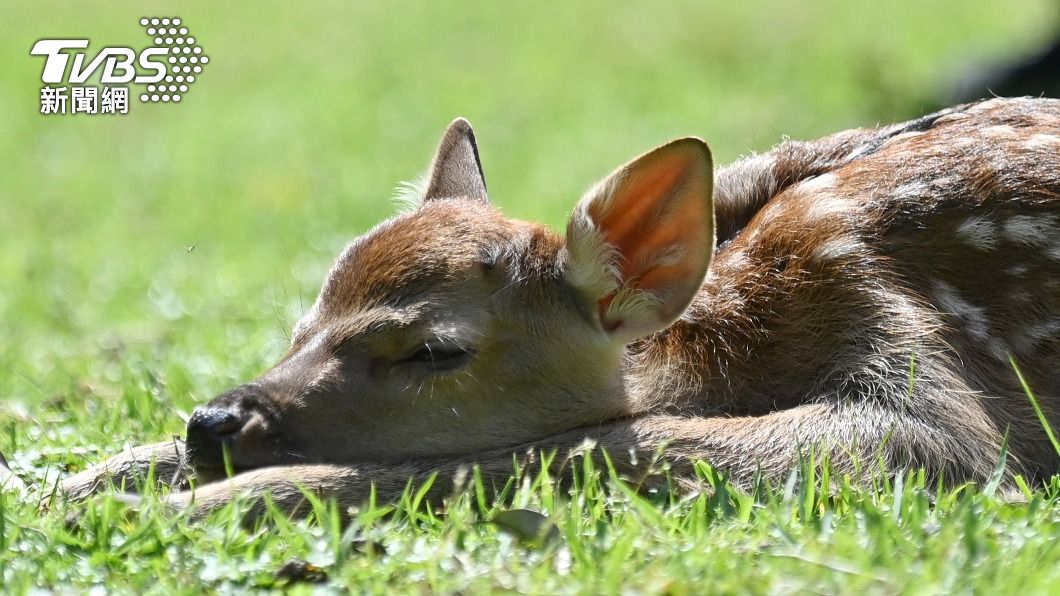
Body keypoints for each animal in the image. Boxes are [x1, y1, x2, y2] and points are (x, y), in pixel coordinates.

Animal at [39, 97, 1060, 519]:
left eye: (434, 350)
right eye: (298, 327)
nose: (214, 421)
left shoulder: (923, 385)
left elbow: (597, 447)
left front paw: (202, 506)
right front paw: (65, 484)